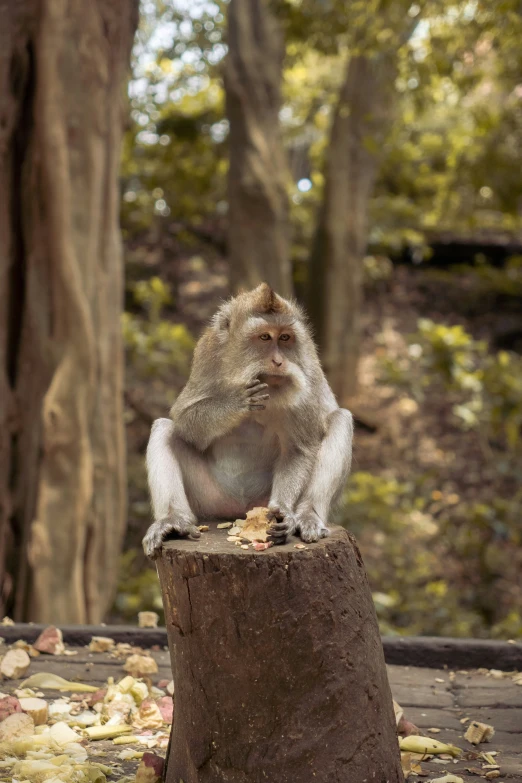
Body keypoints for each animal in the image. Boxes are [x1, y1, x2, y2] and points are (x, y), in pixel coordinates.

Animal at [144, 284, 352, 560]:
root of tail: (239, 508)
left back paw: (307, 515)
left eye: (285, 338)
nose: (279, 361)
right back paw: (173, 520)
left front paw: (284, 513)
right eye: (264, 337)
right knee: (165, 428)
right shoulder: (208, 353)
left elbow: (299, 448)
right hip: (209, 498)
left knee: (341, 419)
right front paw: (236, 402)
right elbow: (185, 421)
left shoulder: (305, 365)